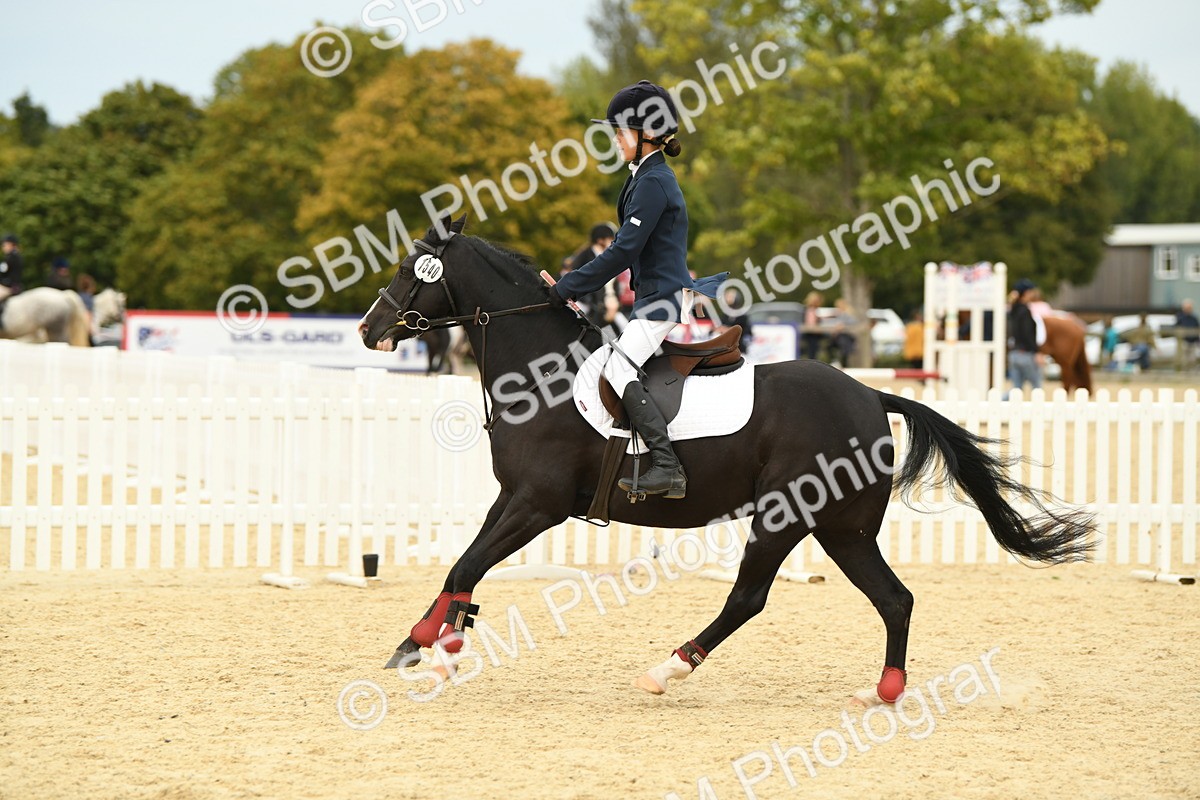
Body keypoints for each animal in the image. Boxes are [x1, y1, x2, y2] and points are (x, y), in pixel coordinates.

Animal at [358, 215, 1094, 703]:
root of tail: (867, 393)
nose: (369, 329)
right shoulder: (511, 498)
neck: (541, 374)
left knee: (750, 596)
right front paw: (425, 643)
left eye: (411, 272)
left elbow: (469, 564)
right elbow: (461, 566)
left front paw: (436, 650)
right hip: (844, 529)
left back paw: (669, 668)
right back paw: (884, 691)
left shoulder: (539, 506)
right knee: (894, 598)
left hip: (790, 517)